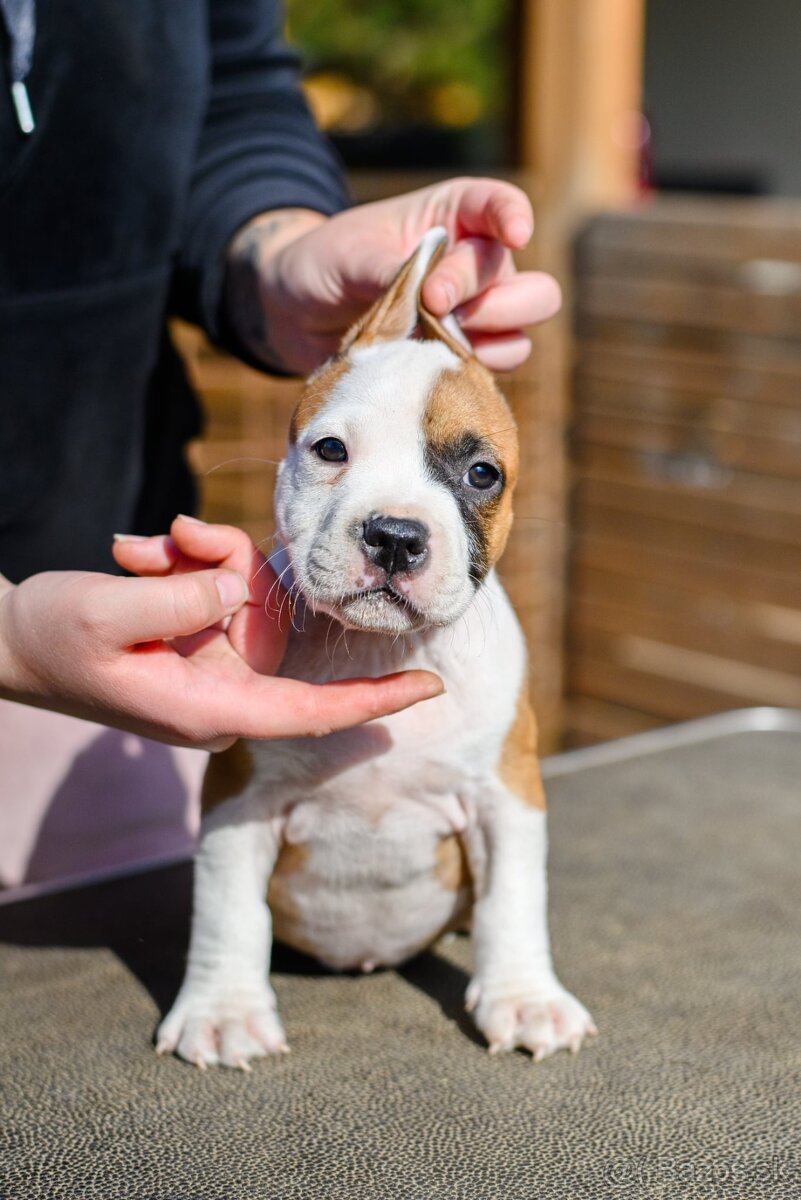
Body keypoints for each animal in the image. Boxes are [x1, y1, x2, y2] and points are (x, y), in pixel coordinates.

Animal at [158, 231, 594, 1070]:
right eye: (331, 449)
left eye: (481, 473)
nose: (393, 535)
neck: (376, 649)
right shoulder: (238, 800)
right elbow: (228, 909)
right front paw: (223, 1010)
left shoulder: (505, 794)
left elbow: (512, 900)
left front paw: (524, 998)